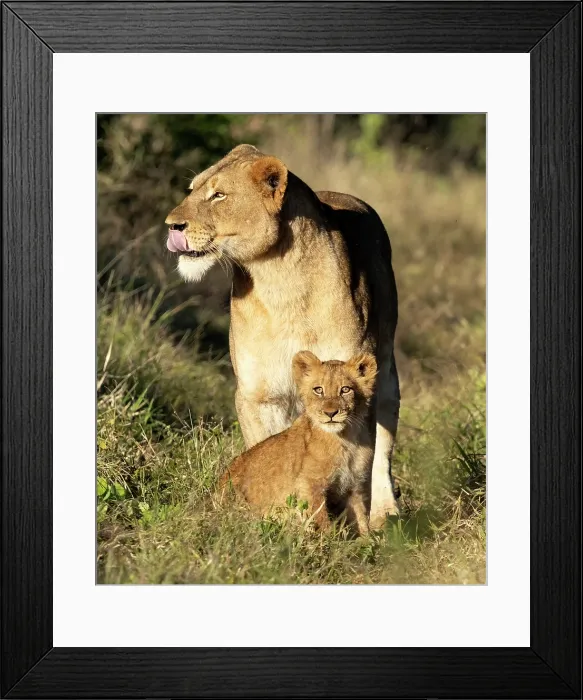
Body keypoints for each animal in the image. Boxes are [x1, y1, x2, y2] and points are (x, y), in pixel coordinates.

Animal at [220, 351, 377, 535]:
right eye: (318, 390)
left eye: (345, 389)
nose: (330, 413)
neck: (347, 439)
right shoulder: (309, 483)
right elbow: (320, 516)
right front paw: (329, 539)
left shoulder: (353, 487)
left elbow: (361, 519)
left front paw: (368, 540)